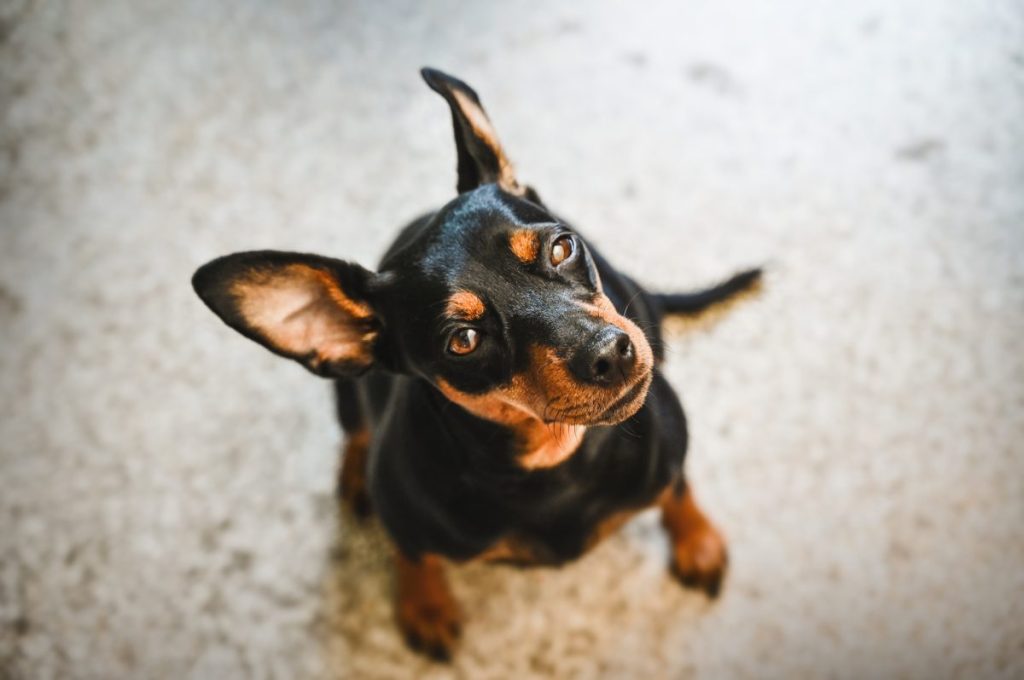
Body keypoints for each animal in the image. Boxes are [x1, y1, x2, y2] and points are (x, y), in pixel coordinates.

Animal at [190, 67, 761, 659]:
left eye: (561, 248)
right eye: (462, 340)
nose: (611, 352)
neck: (553, 462)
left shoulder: (671, 445)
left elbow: (679, 487)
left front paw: (696, 540)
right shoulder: (406, 518)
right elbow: (411, 551)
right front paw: (425, 606)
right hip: (347, 389)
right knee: (356, 430)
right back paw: (354, 472)